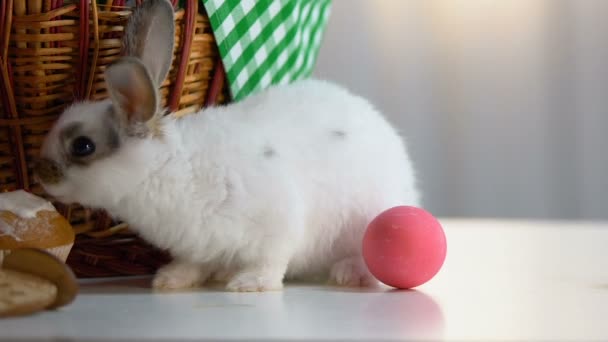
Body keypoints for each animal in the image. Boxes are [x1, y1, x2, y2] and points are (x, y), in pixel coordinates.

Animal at [34, 0, 418, 292]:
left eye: (83, 146)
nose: (40, 174)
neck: (165, 167)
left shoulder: (278, 224)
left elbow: (272, 261)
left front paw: (249, 284)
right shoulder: (196, 244)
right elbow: (194, 263)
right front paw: (170, 280)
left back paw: (347, 273)